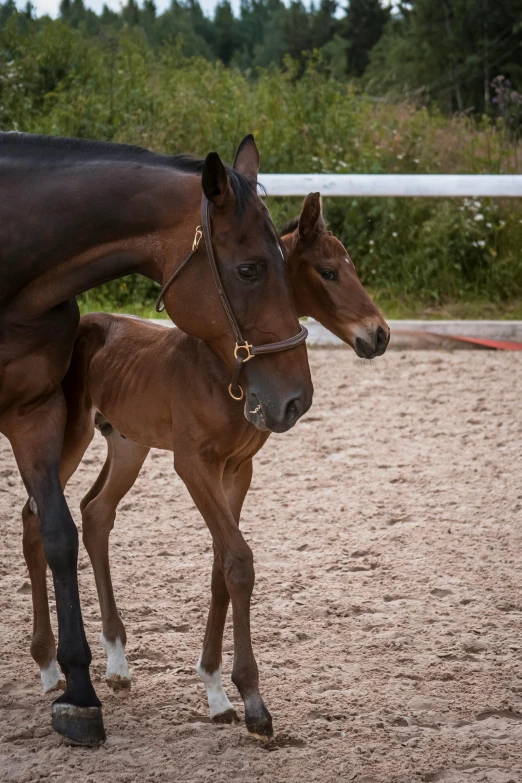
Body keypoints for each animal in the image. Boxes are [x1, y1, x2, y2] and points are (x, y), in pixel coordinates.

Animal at [22, 193, 388, 744]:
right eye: (328, 272)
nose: (380, 335)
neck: (225, 368)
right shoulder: (193, 465)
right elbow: (237, 560)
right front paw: (252, 701)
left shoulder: (238, 468)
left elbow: (222, 565)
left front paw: (216, 692)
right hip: (69, 437)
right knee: (35, 518)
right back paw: (49, 668)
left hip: (128, 445)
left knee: (96, 513)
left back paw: (117, 662)